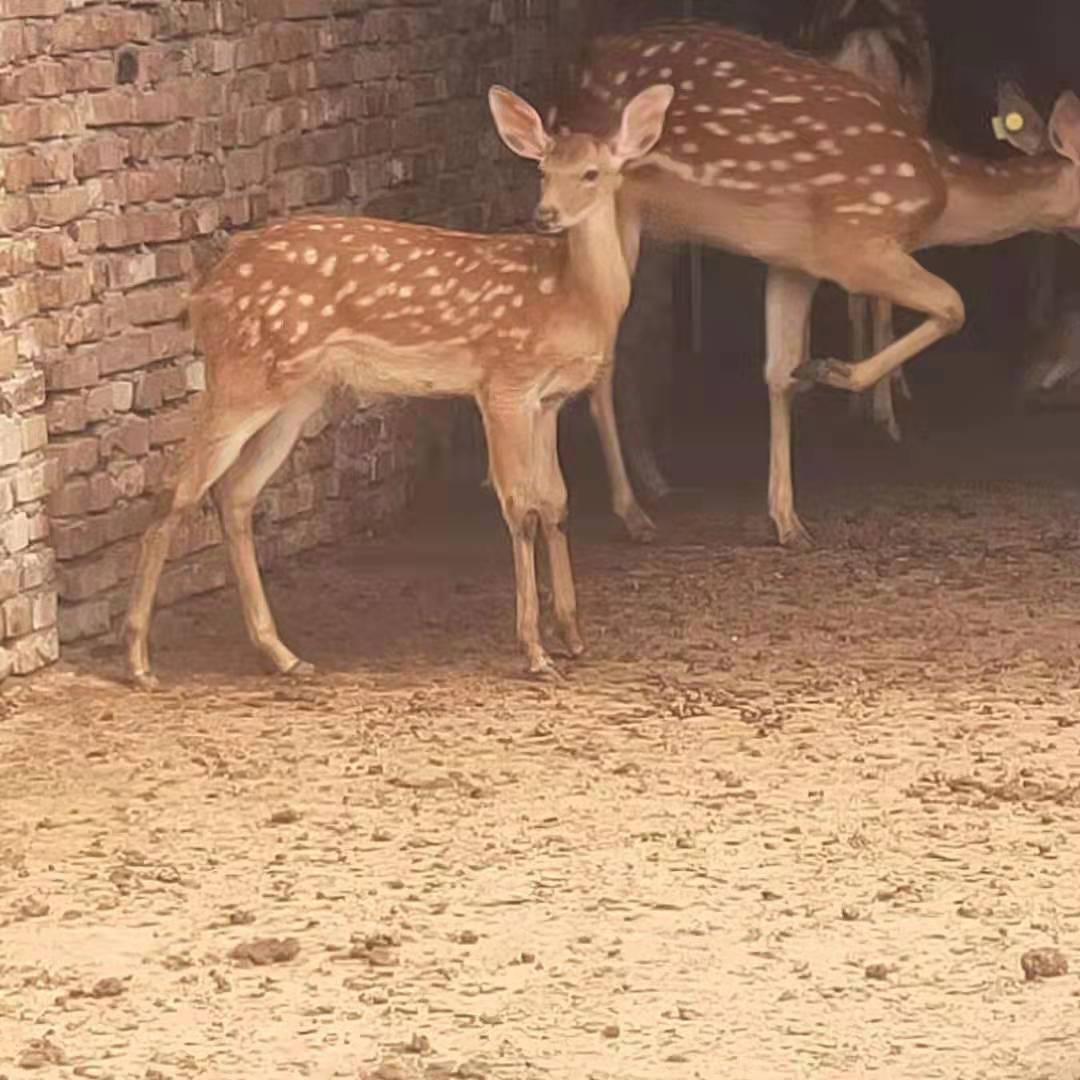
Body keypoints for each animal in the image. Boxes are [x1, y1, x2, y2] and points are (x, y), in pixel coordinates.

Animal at [122, 79, 669, 686]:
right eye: (544, 170)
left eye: (592, 173)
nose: (545, 214)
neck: (573, 300)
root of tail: (200, 293)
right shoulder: (502, 380)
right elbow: (519, 507)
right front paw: (534, 651)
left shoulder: (547, 399)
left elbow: (556, 503)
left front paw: (573, 637)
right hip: (240, 373)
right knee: (177, 489)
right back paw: (140, 661)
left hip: (298, 390)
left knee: (235, 491)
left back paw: (283, 654)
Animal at [561, 23, 1080, 548]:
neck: (944, 197)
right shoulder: (854, 242)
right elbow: (953, 305)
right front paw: (831, 371)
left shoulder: (794, 260)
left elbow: (777, 373)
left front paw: (788, 521)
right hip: (611, 212)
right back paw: (633, 513)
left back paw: (651, 488)